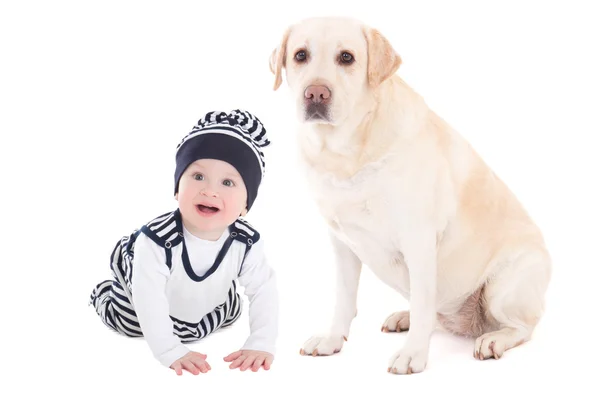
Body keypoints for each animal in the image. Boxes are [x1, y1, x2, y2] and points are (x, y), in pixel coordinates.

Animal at [270, 17, 552, 374]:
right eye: (300, 55)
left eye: (346, 57)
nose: (316, 93)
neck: (347, 153)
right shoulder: (342, 244)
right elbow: (344, 299)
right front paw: (332, 339)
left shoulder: (418, 240)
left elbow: (422, 306)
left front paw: (413, 354)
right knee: (433, 314)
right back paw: (404, 317)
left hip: (503, 287)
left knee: (521, 327)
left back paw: (492, 340)